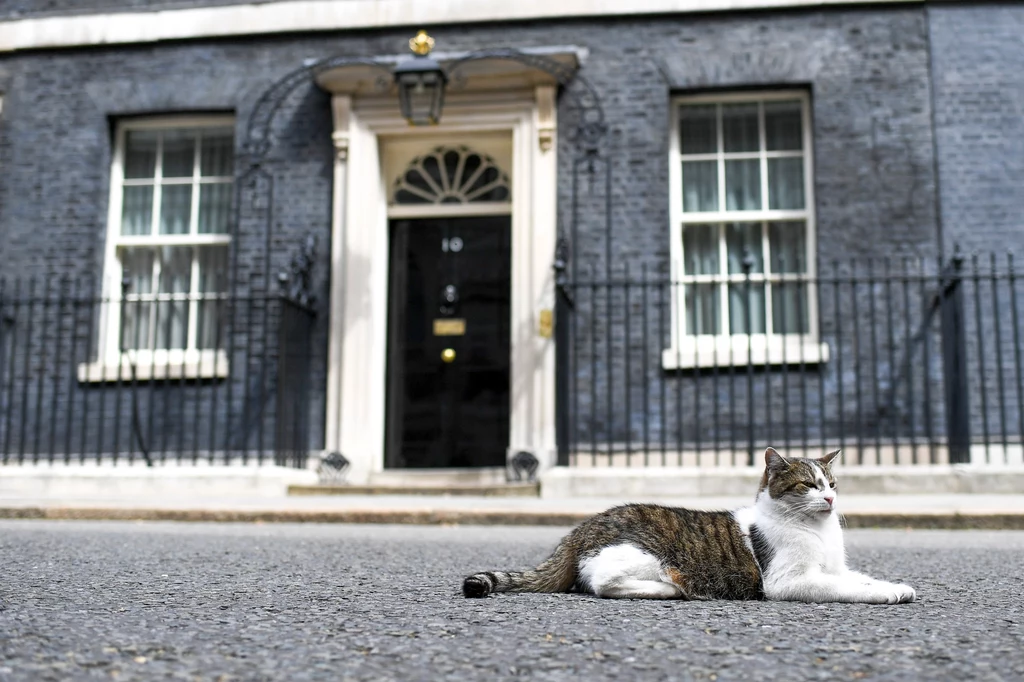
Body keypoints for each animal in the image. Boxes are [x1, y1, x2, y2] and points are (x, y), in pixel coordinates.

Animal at [460, 448, 917, 602]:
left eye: (833, 484)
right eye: (809, 485)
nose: (831, 499)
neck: (819, 532)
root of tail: (584, 526)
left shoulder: (836, 567)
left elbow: (859, 578)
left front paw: (895, 585)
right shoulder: (788, 581)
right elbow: (844, 589)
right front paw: (884, 595)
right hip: (647, 556)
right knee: (601, 582)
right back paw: (670, 590)